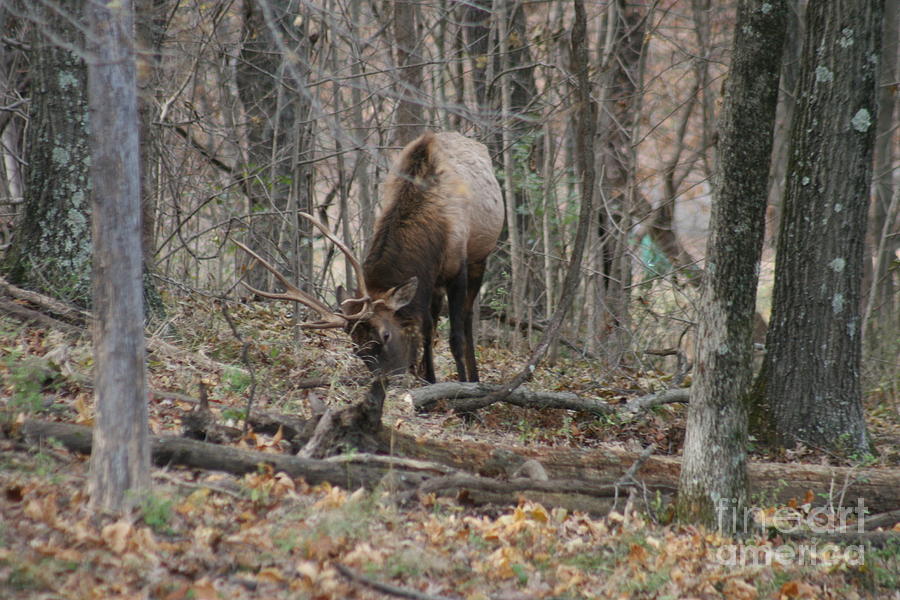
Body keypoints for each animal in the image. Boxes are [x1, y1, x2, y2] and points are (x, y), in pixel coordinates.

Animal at [237, 132, 506, 384]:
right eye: (356, 347)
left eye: (385, 334)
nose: (389, 380)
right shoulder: (429, 277)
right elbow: (426, 329)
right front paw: (429, 380)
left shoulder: (457, 266)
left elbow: (456, 337)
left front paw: (465, 393)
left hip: (480, 257)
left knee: (468, 317)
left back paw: (474, 377)